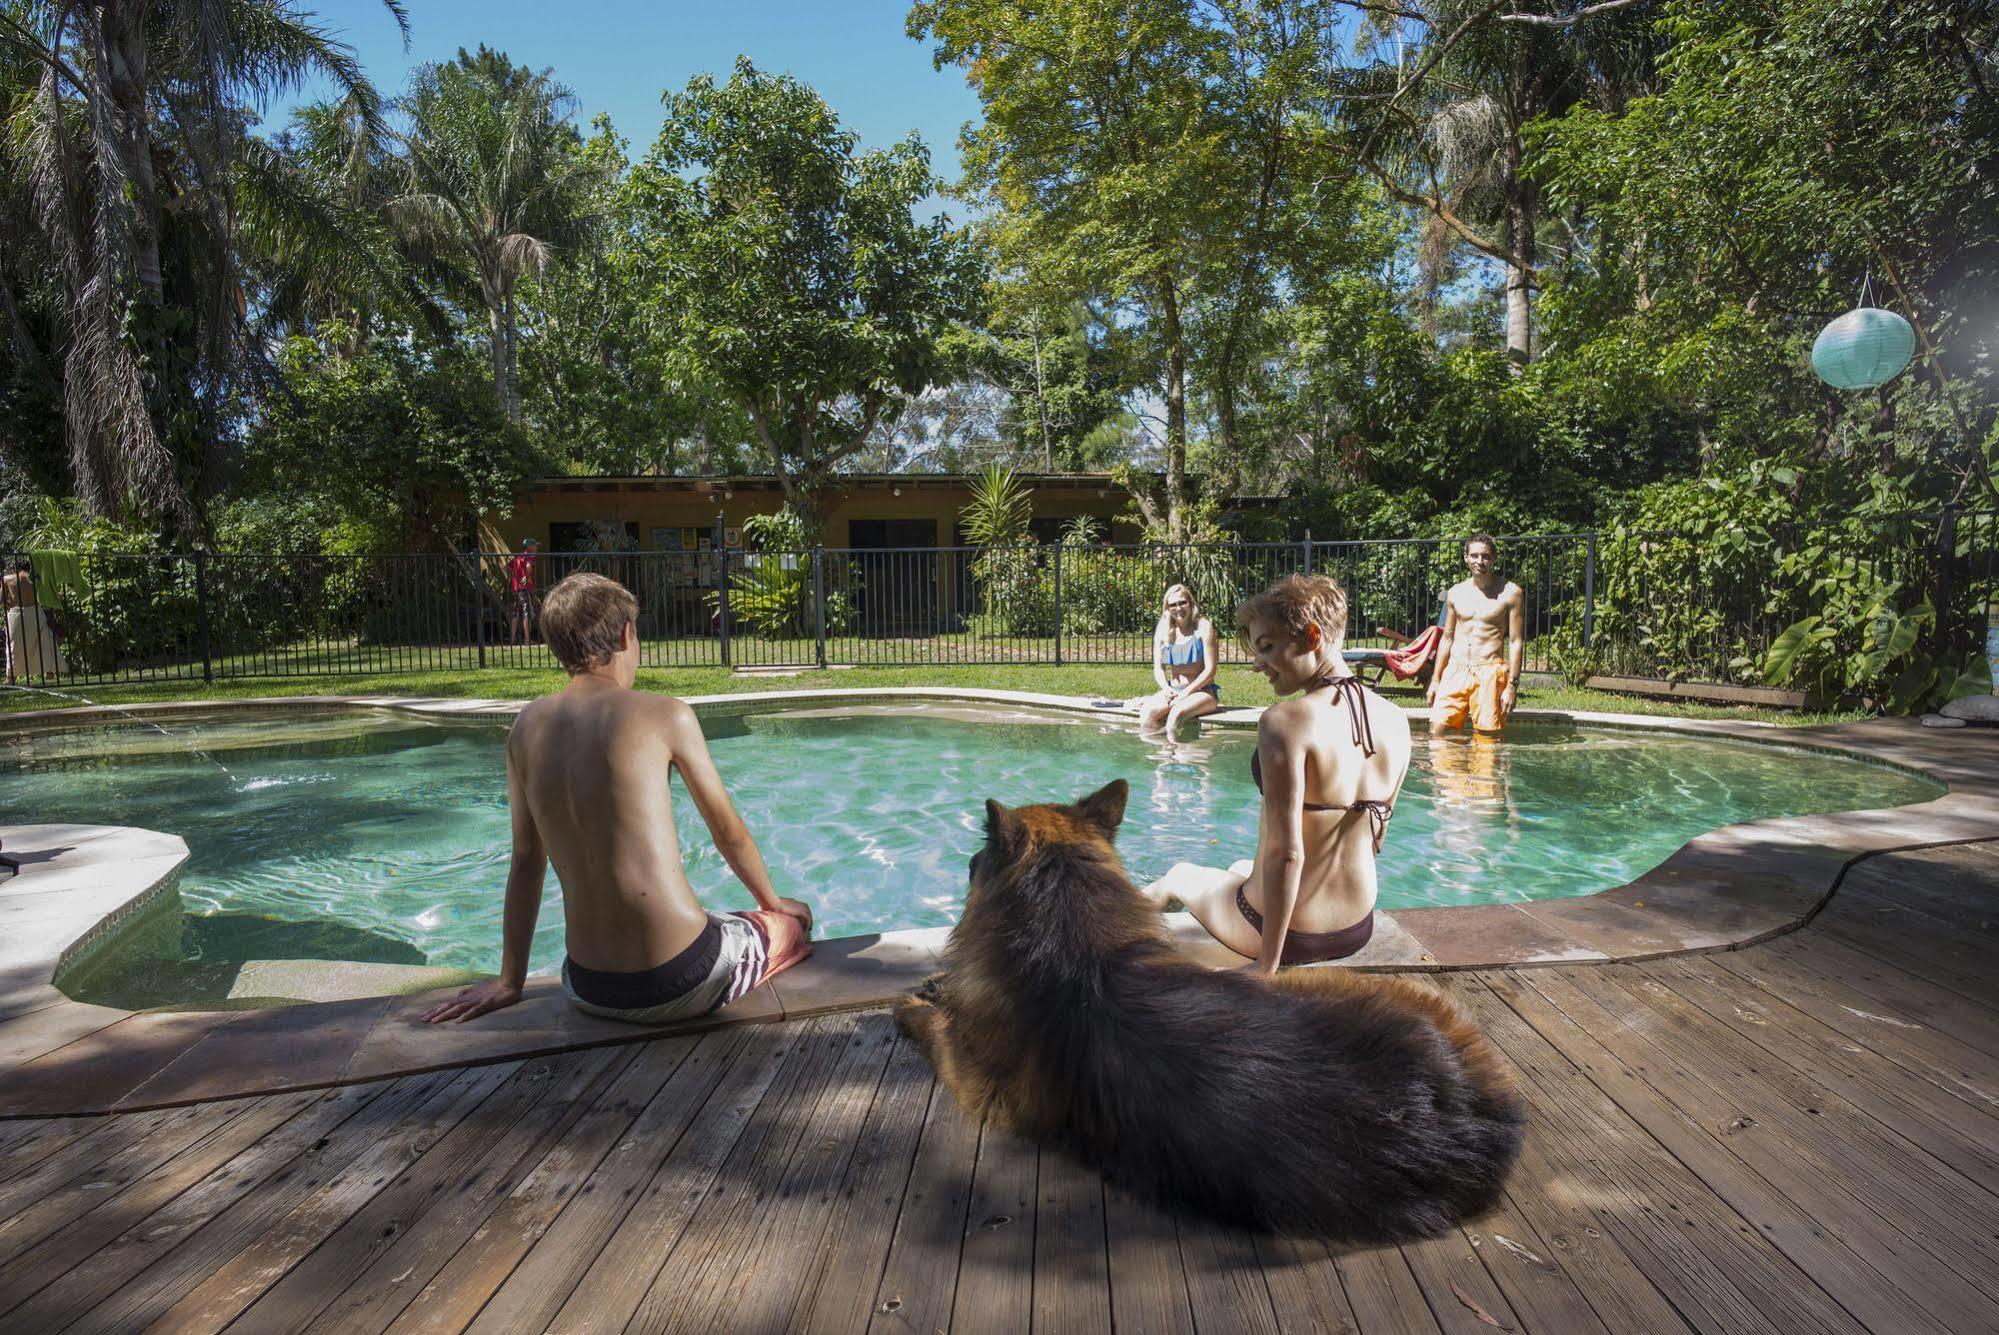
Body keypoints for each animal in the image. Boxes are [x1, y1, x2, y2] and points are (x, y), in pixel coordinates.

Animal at [899, 775, 1519, 1247]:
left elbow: (934, 1028)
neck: (1072, 939)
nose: (968, 861)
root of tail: (1470, 1128)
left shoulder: (978, 1084)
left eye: (977, 859)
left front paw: (916, 1003)